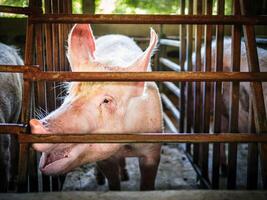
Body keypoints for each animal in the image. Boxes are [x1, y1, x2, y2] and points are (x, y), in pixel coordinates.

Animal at [29, 24, 163, 191]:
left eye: (106, 101)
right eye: (69, 91)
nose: (36, 125)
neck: (125, 146)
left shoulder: (153, 147)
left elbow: (148, 182)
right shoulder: (104, 157)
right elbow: (112, 181)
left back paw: (125, 176)